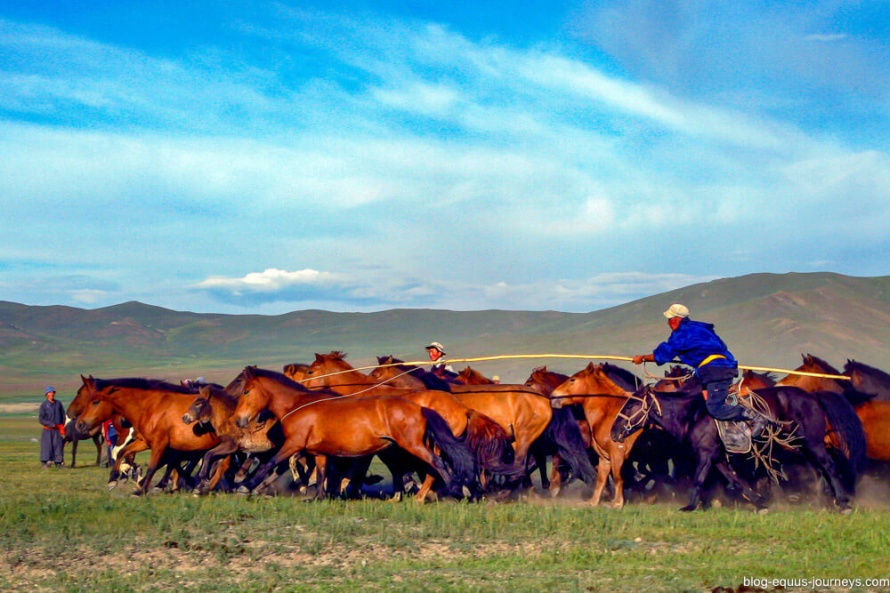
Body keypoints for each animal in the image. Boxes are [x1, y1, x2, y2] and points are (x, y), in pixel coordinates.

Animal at [231, 366, 478, 500]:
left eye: (246, 391)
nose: (238, 420)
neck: (298, 405)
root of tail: (420, 407)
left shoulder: (293, 444)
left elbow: (269, 463)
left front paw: (244, 486)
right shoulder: (318, 452)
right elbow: (322, 474)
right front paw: (319, 497)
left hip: (413, 445)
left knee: (437, 463)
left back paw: (454, 490)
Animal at [548, 364, 640, 506]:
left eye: (572, 380)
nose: (553, 396)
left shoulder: (617, 453)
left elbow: (618, 478)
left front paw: (617, 504)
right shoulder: (604, 456)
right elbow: (601, 479)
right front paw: (594, 502)